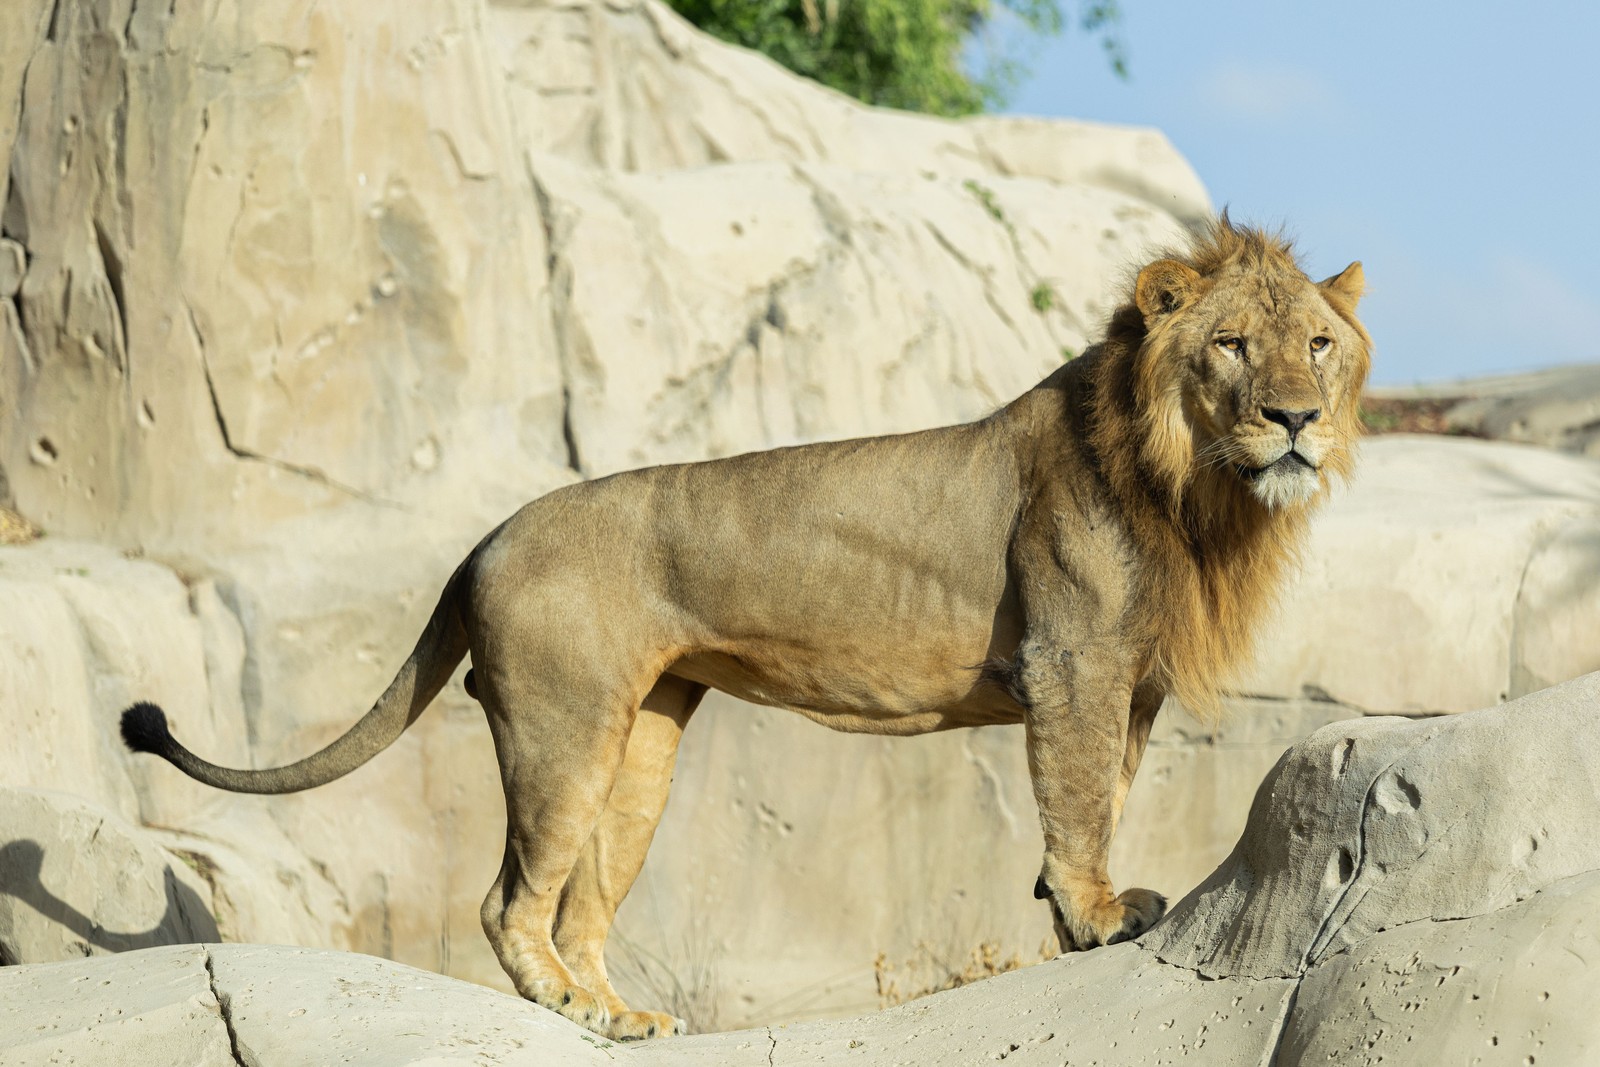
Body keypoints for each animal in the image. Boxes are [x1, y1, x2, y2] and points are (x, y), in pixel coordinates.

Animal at [121, 218, 1370, 1041]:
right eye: (1228, 345)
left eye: (1316, 342)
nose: (1295, 419)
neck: (1193, 492)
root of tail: (487, 535)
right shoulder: (1072, 662)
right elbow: (1077, 805)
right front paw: (1099, 917)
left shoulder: (1130, 682)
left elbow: (1103, 794)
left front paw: (1081, 919)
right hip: (561, 723)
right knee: (510, 894)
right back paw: (564, 1002)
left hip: (643, 740)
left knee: (583, 898)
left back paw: (619, 1012)